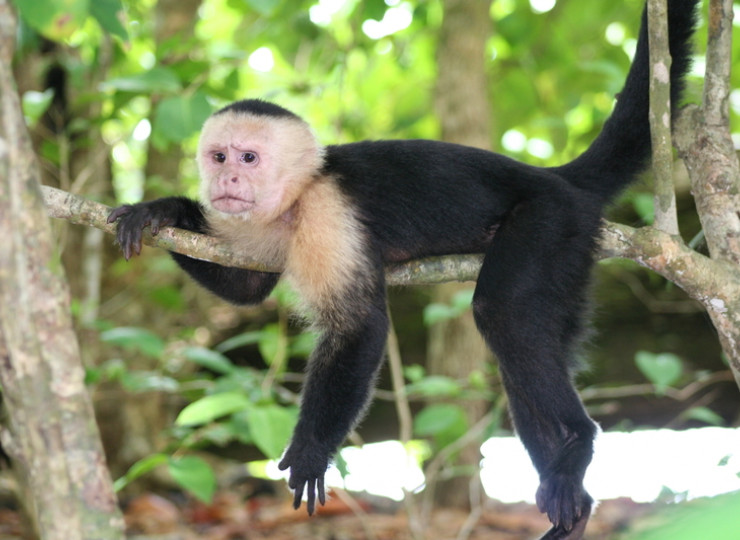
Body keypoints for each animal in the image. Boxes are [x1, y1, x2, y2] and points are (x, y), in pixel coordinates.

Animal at [108, 2, 700, 536]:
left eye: (249, 158)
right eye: (219, 157)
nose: (227, 181)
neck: (297, 198)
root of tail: (554, 178)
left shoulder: (329, 213)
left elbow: (359, 326)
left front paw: (312, 450)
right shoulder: (259, 228)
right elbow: (246, 289)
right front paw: (162, 210)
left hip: (552, 220)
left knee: (504, 313)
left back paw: (577, 441)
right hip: (573, 255)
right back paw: (570, 495)